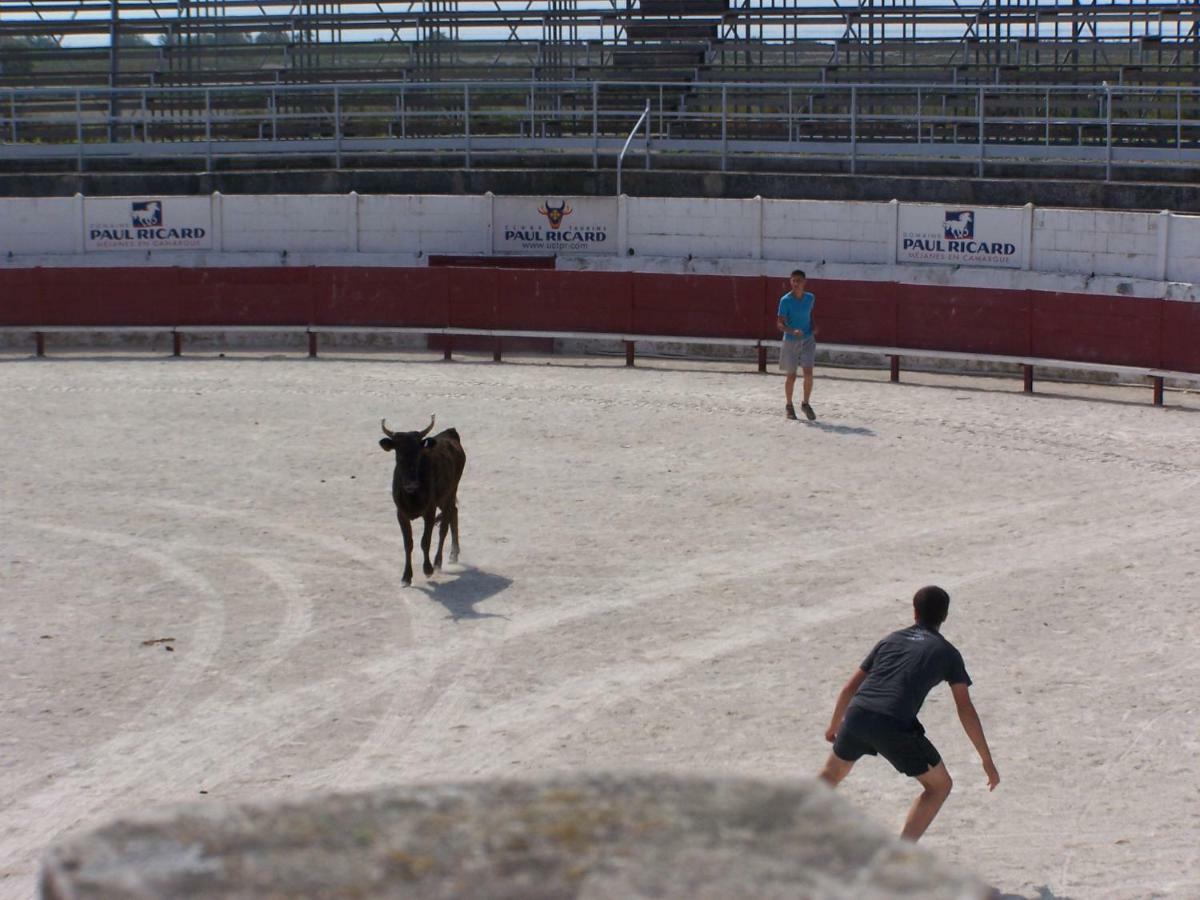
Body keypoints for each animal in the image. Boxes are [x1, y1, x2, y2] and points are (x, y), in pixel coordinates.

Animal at [379, 415, 463, 585]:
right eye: (398, 454)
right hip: (444, 498)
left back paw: (438, 562)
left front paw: (428, 569)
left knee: (444, 526)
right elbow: (408, 543)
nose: (411, 483)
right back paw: (453, 554)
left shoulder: (429, 510)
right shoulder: (401, 513)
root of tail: (451, 432)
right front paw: (406, 577)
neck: (412, 497)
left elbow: (425, 541)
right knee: (454, 513)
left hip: (451, 491)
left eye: (418, 454)